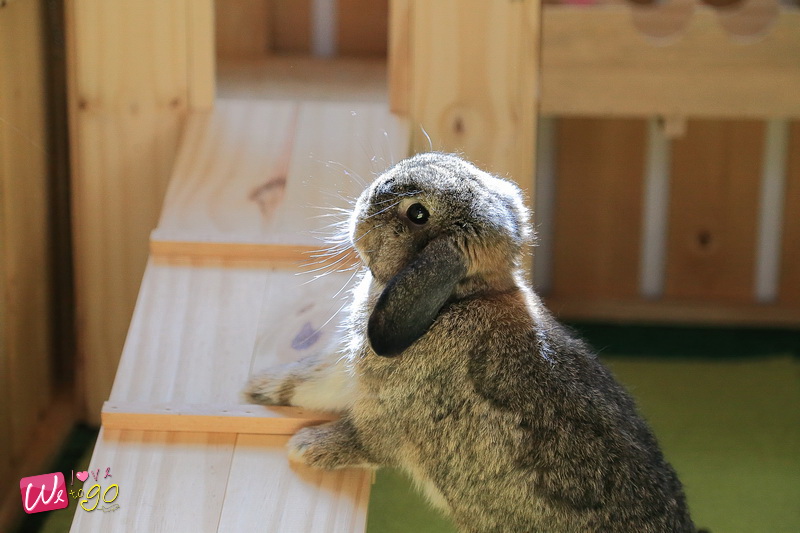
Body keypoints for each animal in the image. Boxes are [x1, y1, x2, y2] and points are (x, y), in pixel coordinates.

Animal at [245, 152, 696, 533]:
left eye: (418, 213)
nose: (369, 195)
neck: (458, 299)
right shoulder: (343, 376)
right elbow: (309, 383)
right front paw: (258, 389)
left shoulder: (384, 415)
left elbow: (366, 441)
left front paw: (306, 448)